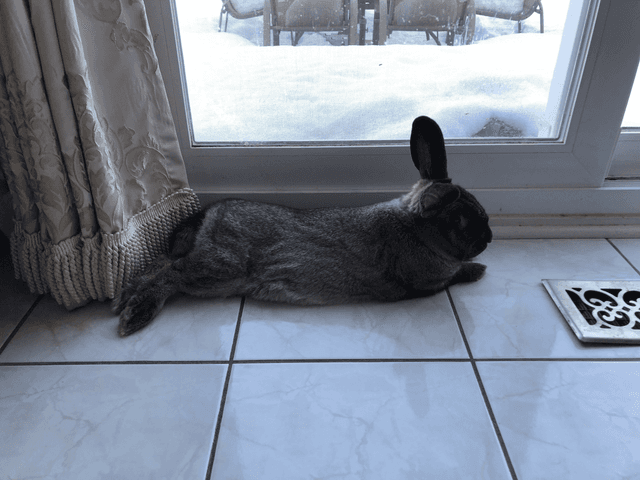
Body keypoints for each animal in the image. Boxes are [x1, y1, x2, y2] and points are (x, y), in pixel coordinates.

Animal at [113, 116, 492, 336]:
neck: (416, 230)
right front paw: (478, 270)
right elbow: (452, 277)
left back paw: (124, 298)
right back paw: (136, 314)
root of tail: (212, 213)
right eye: (460, 221)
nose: (488, 239)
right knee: (172, 273)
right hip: (220, 268)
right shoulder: (427, 282)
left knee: (161, 264)